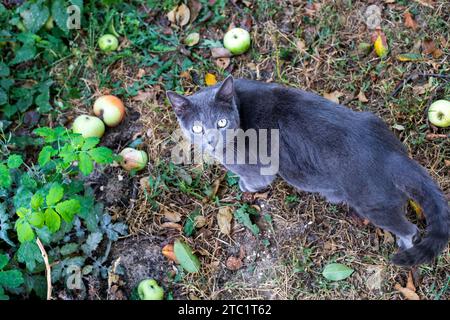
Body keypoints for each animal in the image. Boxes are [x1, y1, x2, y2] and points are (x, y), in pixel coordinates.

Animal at [166, 76, 450, 266]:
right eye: (197, 128)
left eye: (222, 123)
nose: (212, 141)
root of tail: (392, 155)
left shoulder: (255, 166)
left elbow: (255, 179)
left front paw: (245, 186)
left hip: (374, 205)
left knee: (408, 230)